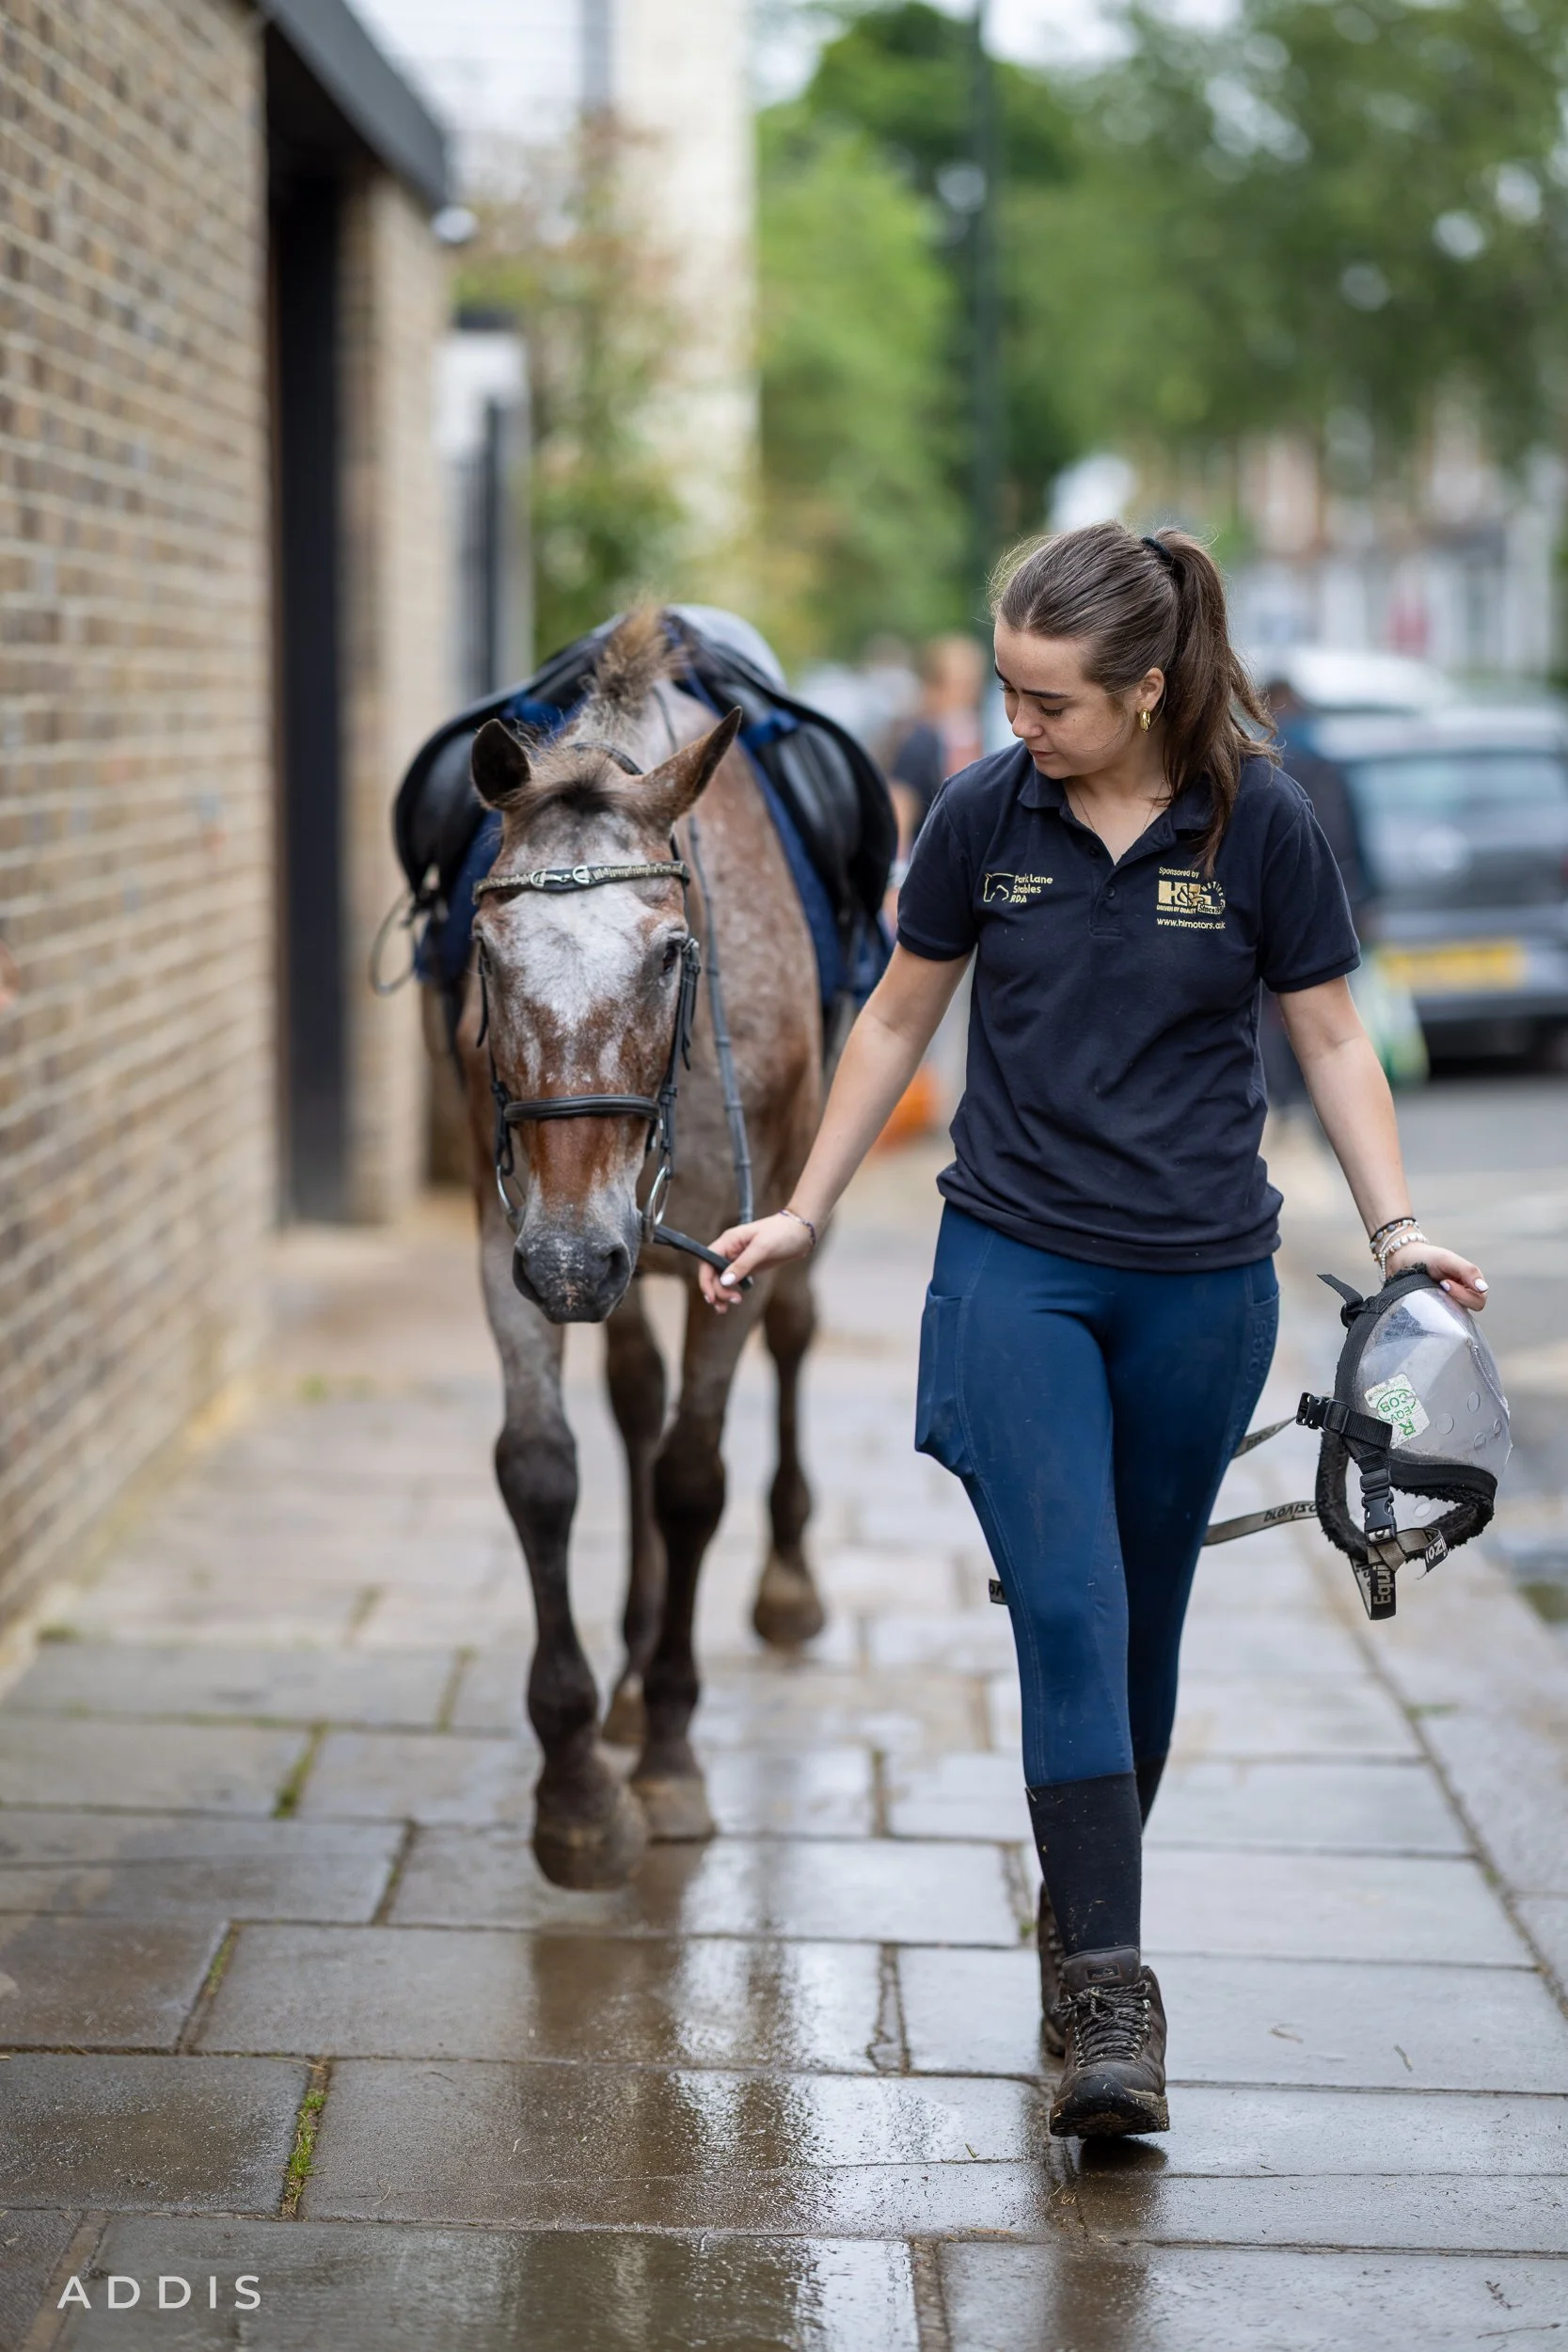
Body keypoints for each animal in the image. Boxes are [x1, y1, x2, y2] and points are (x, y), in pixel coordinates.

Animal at [453, 609, 828, 1888]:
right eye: (485, 949)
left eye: (670, 953)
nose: (574, 1262)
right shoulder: (508, 1232)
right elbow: (541, 1467)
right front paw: (575, 1783)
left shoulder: (739, 1245)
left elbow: (689, 1478)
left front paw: (667, 1755)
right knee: (629, 1400)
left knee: (790, 1344)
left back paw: (785, 1583)